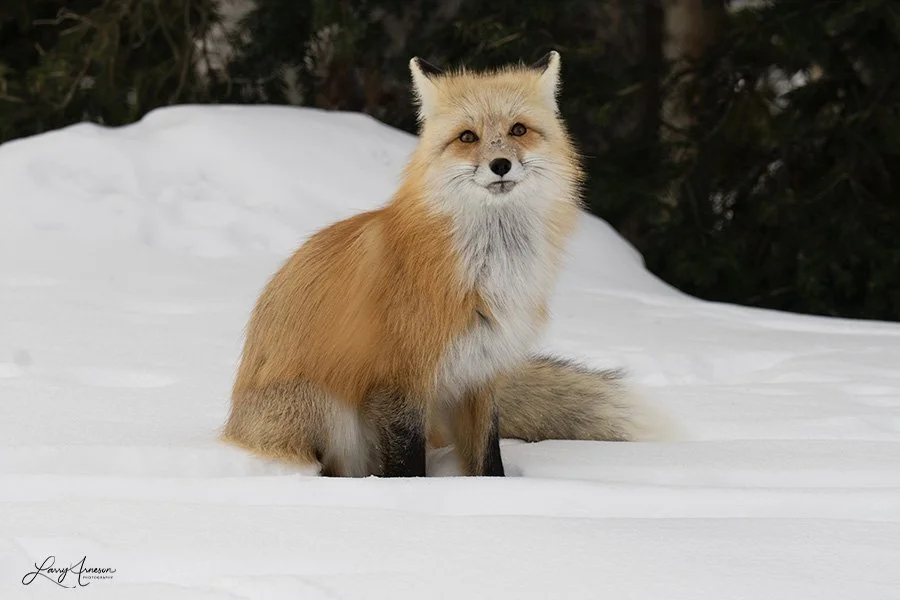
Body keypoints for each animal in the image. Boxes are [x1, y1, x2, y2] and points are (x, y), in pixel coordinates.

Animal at [222, 51, 674, 477]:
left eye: (518, 130)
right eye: (467, 137)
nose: (500, 165)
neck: (486, 275)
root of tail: (231, 427)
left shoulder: (481, 375)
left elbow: (488, 459)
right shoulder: (399, 382)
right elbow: (406, 468)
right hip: (325, 407)